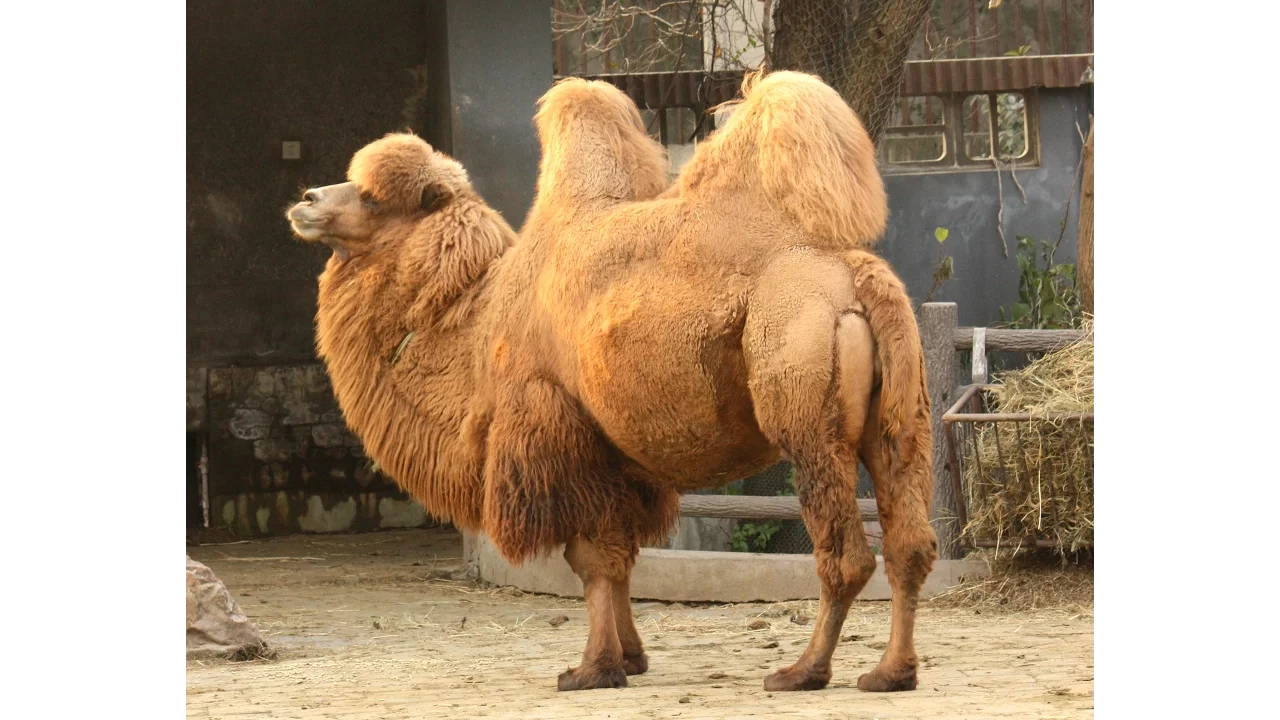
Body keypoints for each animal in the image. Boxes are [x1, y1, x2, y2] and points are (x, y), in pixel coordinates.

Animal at [286, 70, 937, 694]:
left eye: (372, 198)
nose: (306, 200)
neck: (476, 327)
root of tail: (856, 276)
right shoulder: (619, 456)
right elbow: (620, 559)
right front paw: (631, 656)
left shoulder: (558, 432)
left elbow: (591, 559)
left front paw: (591, 669)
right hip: (900, 421)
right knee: (910, 544)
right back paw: (890, 673)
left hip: (804, 407)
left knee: (846, 554)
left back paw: (803, 671)